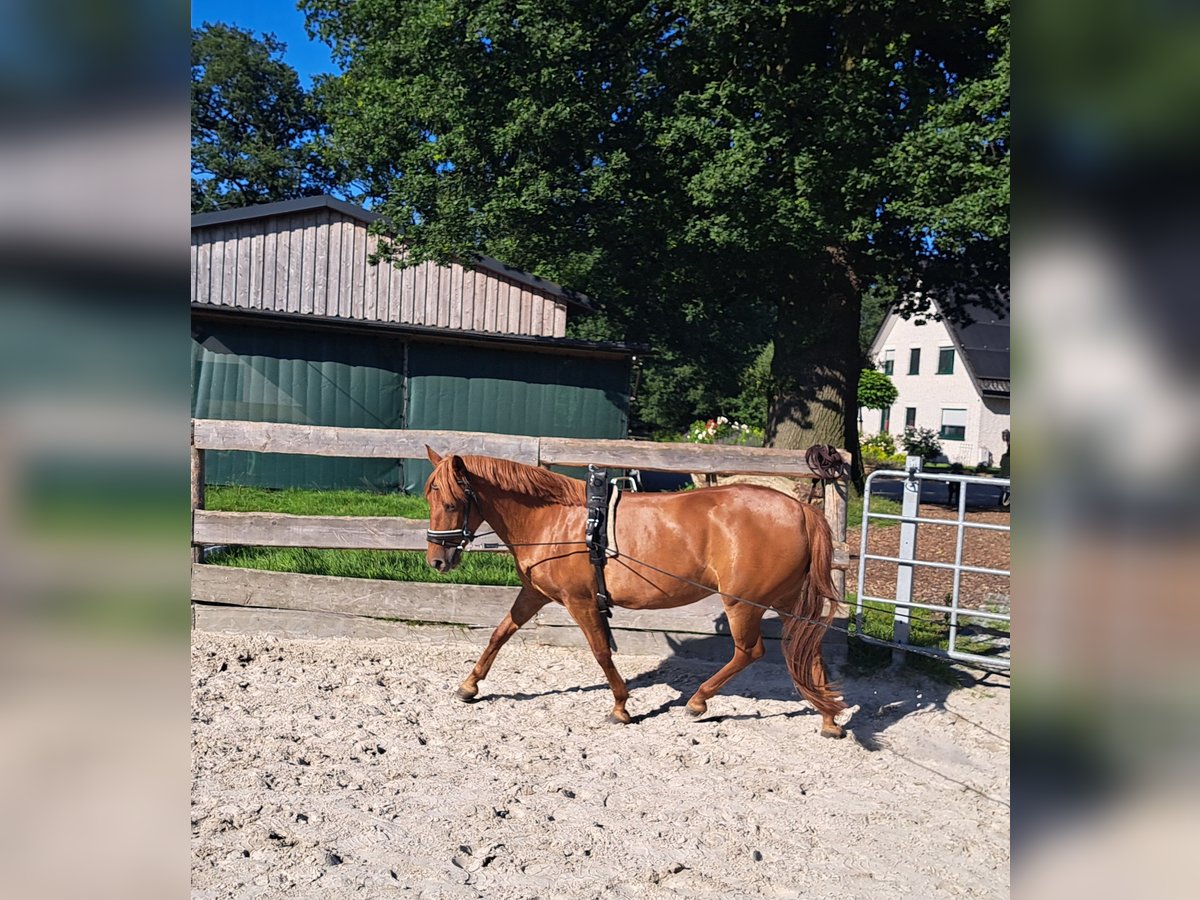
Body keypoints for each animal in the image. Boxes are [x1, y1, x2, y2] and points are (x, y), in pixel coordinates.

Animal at [427, 448, 849, 734]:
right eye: (429, 499)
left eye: (452, 502)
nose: (436, 560)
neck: (556, 519)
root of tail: (800, 509)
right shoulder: (535, 593)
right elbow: (500, 634)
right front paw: (468, 686)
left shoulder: (580, 601)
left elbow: (600, 652)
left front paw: (620, 707)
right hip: (787, 600)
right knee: (808, 646)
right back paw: (829, 717)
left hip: (742, 603)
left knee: (750, 651)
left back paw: (698, 702)